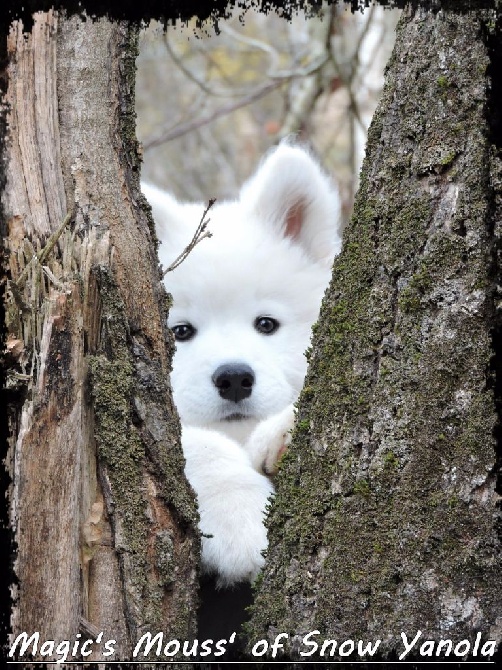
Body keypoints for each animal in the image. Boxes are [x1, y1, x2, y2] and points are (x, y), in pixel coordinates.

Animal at [143, 143, 344, 588]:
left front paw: (280, 434)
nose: (234, 378)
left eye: (266, 324)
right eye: (181, 332)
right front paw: (241, 521)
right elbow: (195, 444)